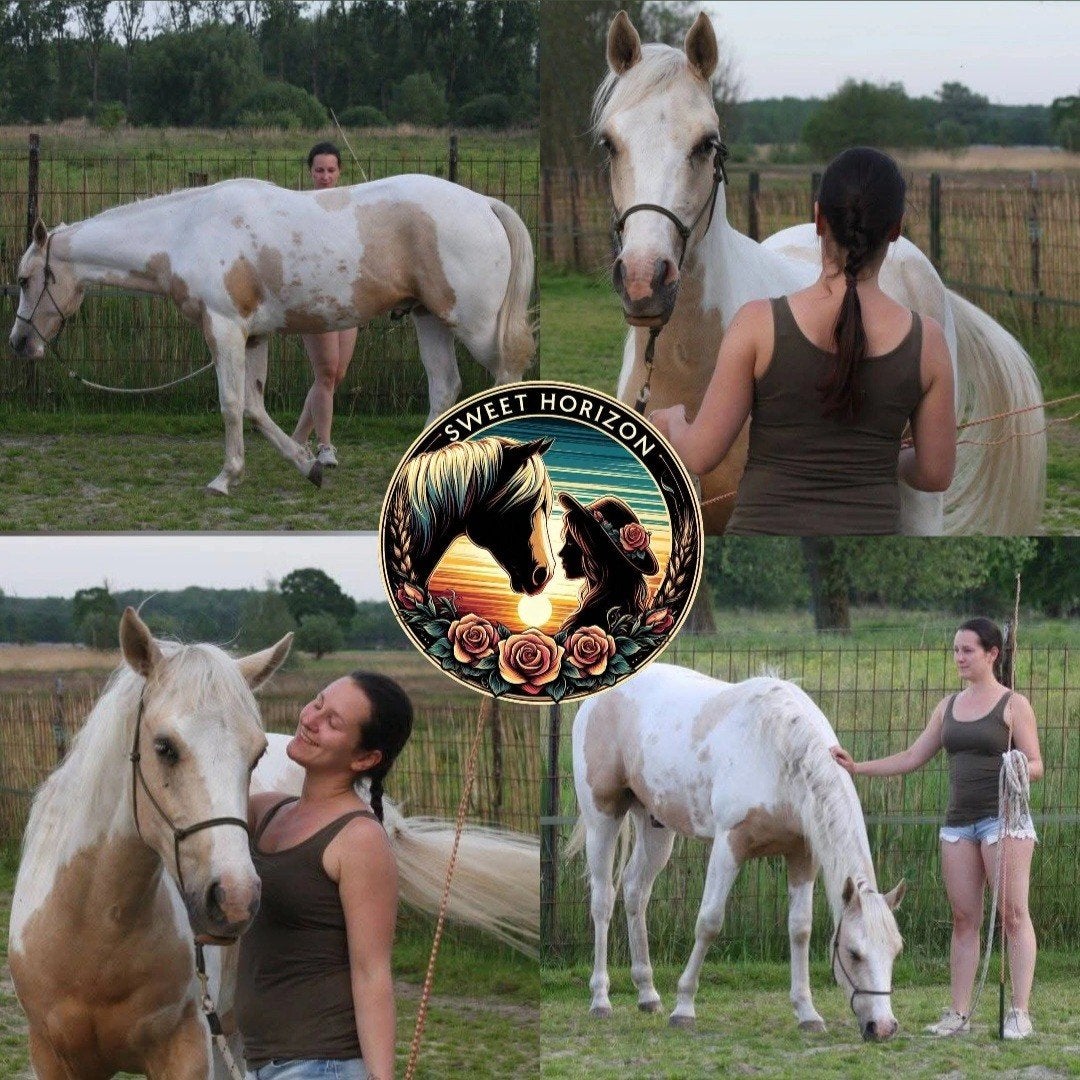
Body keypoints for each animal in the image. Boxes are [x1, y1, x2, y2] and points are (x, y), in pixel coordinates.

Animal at [8, 173, 536, 494]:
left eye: (26, 279)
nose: (19, 343)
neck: (187, 231)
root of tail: (483, 204)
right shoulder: (253, 336)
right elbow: (254, 406)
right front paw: (308, 465)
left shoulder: (223, 329)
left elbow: (230, 404)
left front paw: (224, 478)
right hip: (429, 319)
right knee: (444, 387)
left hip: (475, 325)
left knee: (504, 378)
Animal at [9, 611, 541, 1078]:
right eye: (163, 747)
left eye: (256, 753)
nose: (233, 900)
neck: (94, 933)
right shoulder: (52, 1058)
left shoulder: (187, 1051)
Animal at [572, 663, 906, 1042]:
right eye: (853, 953)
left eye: (896, 950)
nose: (883, 1027)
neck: (779, 750)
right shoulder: (729, 845)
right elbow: (709, 922)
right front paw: (684, 1007)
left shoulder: (802, 855)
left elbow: (800, 929)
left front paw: (807, 1013)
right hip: (603, 818)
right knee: (603, 900)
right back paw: (601, 1000)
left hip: (655, 824)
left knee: (635, 892)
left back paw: (648, 994)